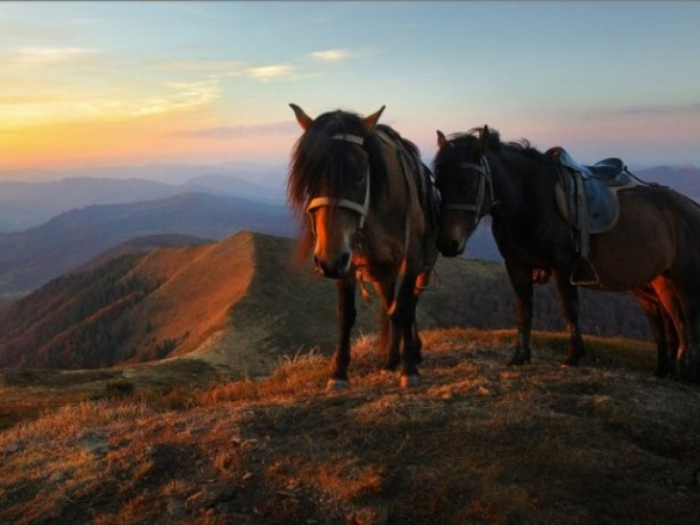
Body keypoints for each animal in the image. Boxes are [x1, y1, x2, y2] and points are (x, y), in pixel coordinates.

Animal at [288, 104, 434, 386]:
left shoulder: (410, 259)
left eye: (359, 175)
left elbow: (406, 308)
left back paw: (412, 352)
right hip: (380, 271)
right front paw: (339, 372)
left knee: (408, 303)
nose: (328, 261)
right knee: (390, 304)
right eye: (310, 178)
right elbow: (346, 314)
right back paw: (391, 358)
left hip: (419, 266)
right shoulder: (350, 261)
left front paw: (409, 369)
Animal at [432, 126, 700, 380]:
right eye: (439, 183)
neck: (532, 200)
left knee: (687, 319)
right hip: (655, 283)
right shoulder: (516, 265)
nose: (447, 243)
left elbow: (569, 307)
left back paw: (686, 372)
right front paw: (520, 356)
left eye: (468, 182)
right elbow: (523, 309)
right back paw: (666, 370)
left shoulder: (563, 265)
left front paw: (573, 356)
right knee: (668, 321)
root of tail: (691, 205)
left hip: (684, 279)